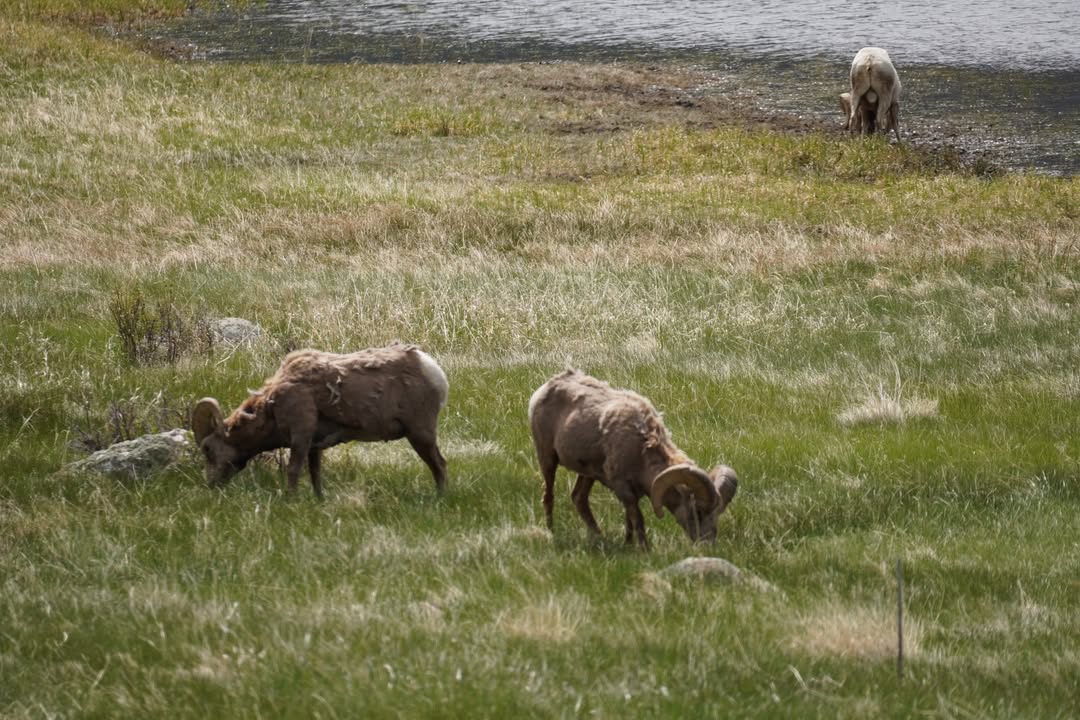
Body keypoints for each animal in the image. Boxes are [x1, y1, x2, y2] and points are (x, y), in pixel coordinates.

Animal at [191, 343, 449, 498]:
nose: (210, 484)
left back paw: (440, 498)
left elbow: (293, 469)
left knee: (439, 464)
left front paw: (290, 501)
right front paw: (318, 500)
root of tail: (431, 369)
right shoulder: (314, 445)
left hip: (420, 434)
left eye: (207, 448)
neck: (272, 405)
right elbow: (315, 473)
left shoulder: (301, 435)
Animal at [528, 369, 737, 548]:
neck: (643, 451)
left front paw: (628, 544)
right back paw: (552, 533)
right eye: (698, 512)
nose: (707, 544)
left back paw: (599, 536)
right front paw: (645, 550)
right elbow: (637, 519)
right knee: (548, 496)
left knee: (579, 499)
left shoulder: (630, 492)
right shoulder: (624, 489)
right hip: (547, 458)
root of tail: (544, 389)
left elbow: (629, 519)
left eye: (717, 513)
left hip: (588, 473)